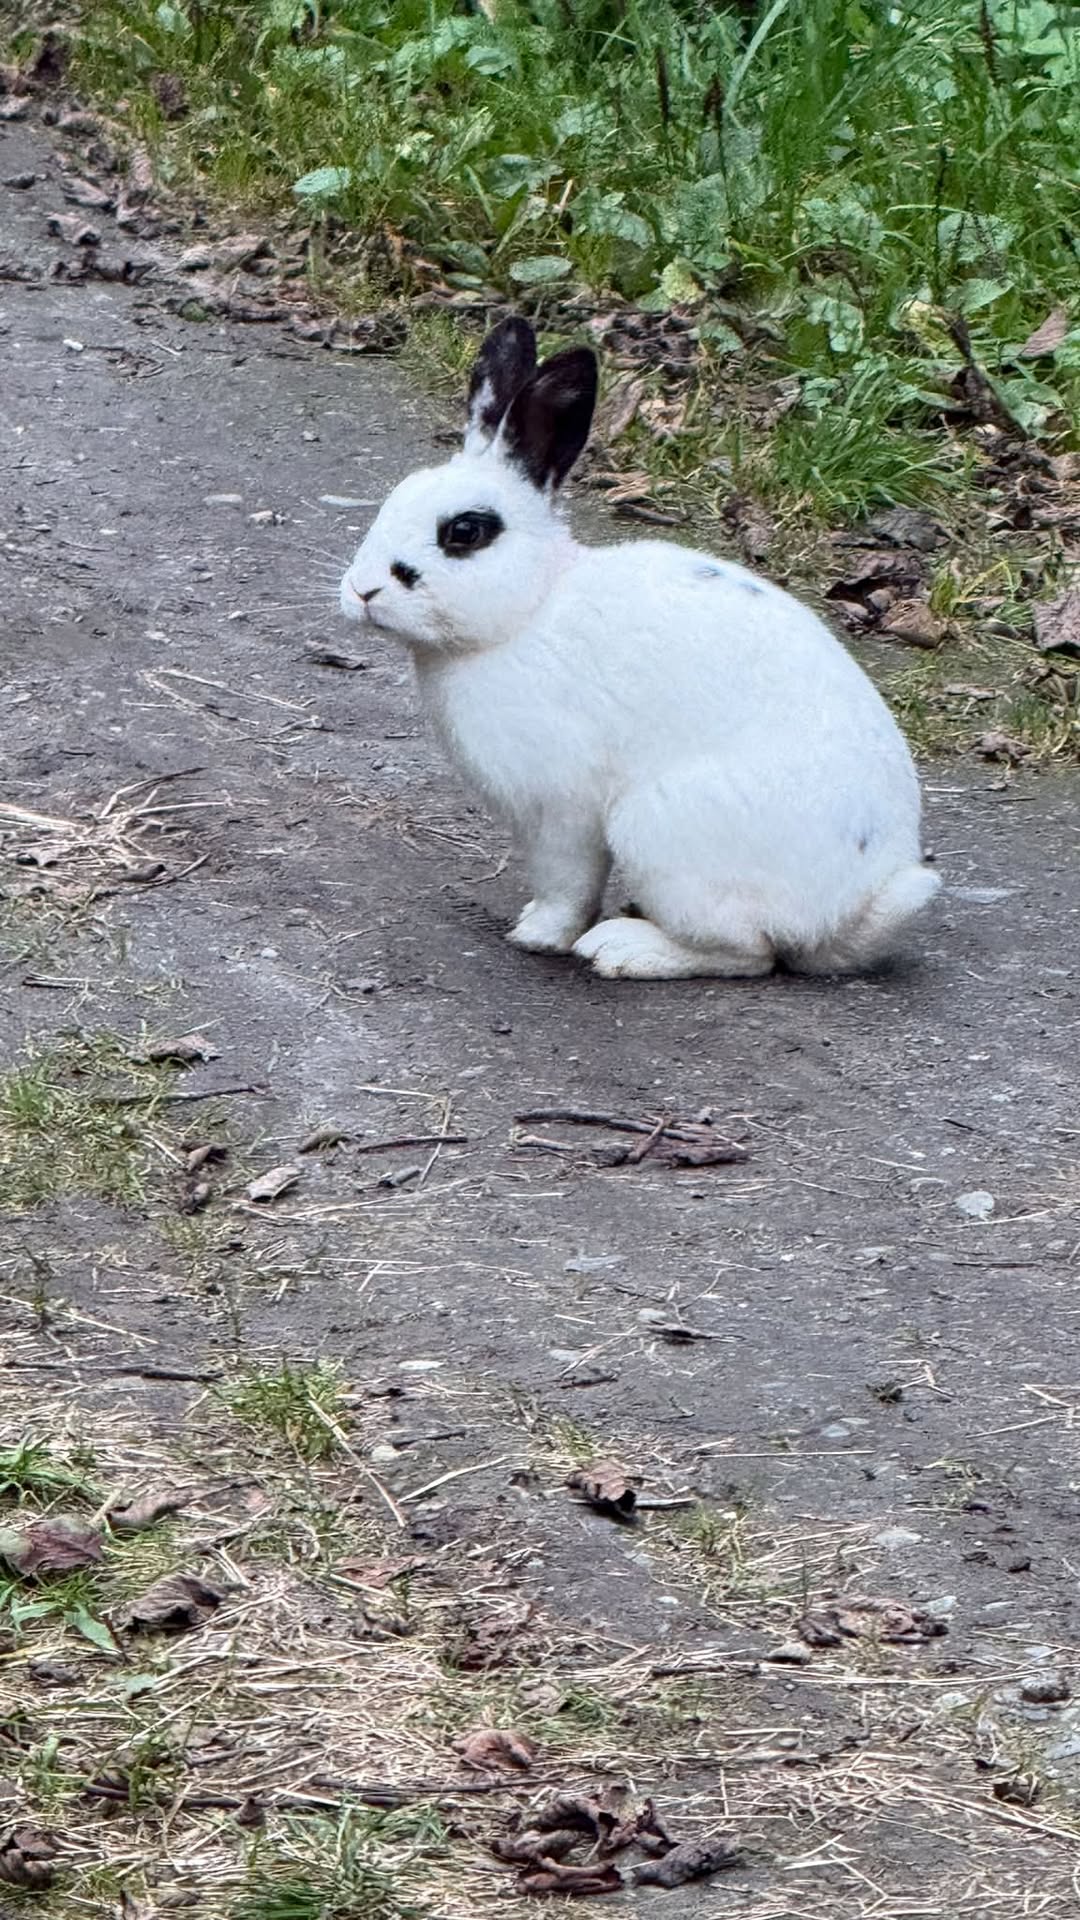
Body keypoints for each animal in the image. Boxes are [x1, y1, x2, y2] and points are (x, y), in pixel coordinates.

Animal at [339, 316, 940, 979]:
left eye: (465, 532)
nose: (363, 590)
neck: (533, 606)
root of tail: (847, 915)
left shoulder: (562, 810)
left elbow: (567, 883)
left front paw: (538, 935)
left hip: (657, 830)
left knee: (749, 953)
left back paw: (623, 949)